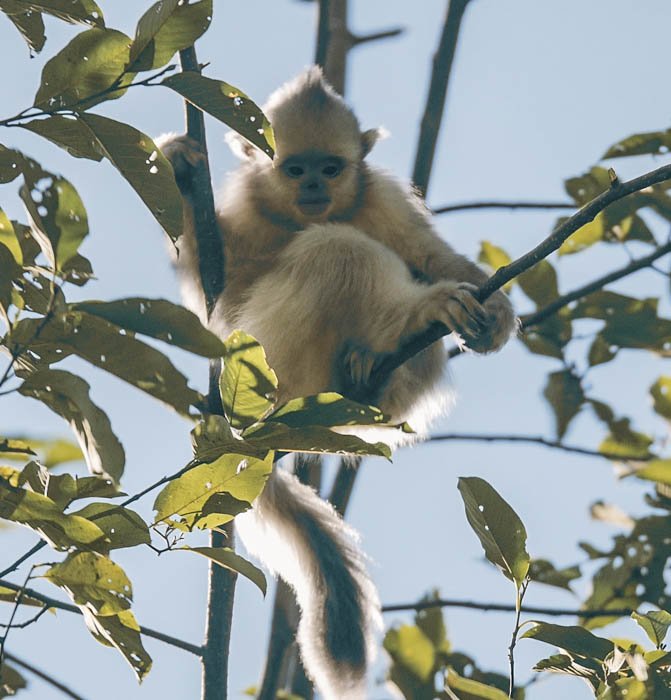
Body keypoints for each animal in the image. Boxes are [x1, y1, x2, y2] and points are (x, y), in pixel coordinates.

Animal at [158, 67, 516, 700]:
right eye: (293, 169)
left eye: (331, 167)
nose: (312, 189)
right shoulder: (242, 228)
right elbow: (214, 297)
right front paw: (177, 168)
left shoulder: (385, 198)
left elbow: (432, 255)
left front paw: (496, 314)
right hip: (273, 361)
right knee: (335, 250)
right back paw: (412, 319)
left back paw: (374, 363)